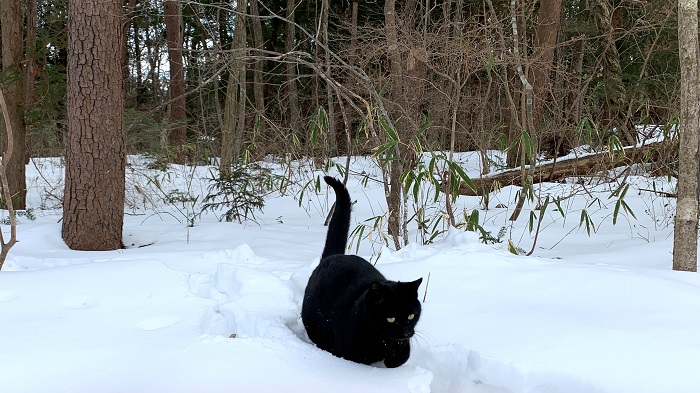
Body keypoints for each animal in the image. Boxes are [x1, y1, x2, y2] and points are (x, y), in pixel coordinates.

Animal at [300, 176, 422, 366]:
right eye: (391, 318)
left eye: (411, 316)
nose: (406, 332)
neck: (382, 341)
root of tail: (334, 255)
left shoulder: (403, 345)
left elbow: (401, 357)